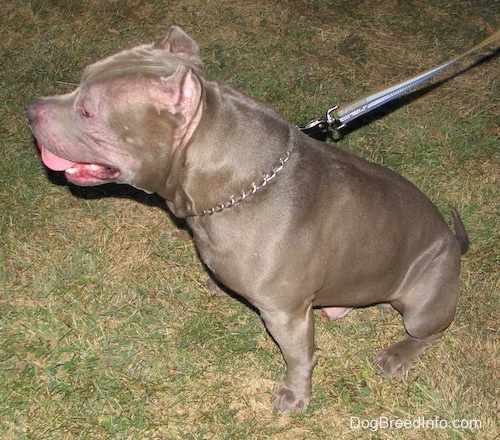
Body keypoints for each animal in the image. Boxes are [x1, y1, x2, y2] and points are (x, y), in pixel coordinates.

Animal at [28, 26, 468, 412]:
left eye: (87, 111)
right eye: (80, 80)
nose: (31, 108)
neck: (236, 186)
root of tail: (453, 241)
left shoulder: (286, 313)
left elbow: (299, 357)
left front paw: (295, 394)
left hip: (423, 302)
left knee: (431, 332)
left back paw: (398, 354)